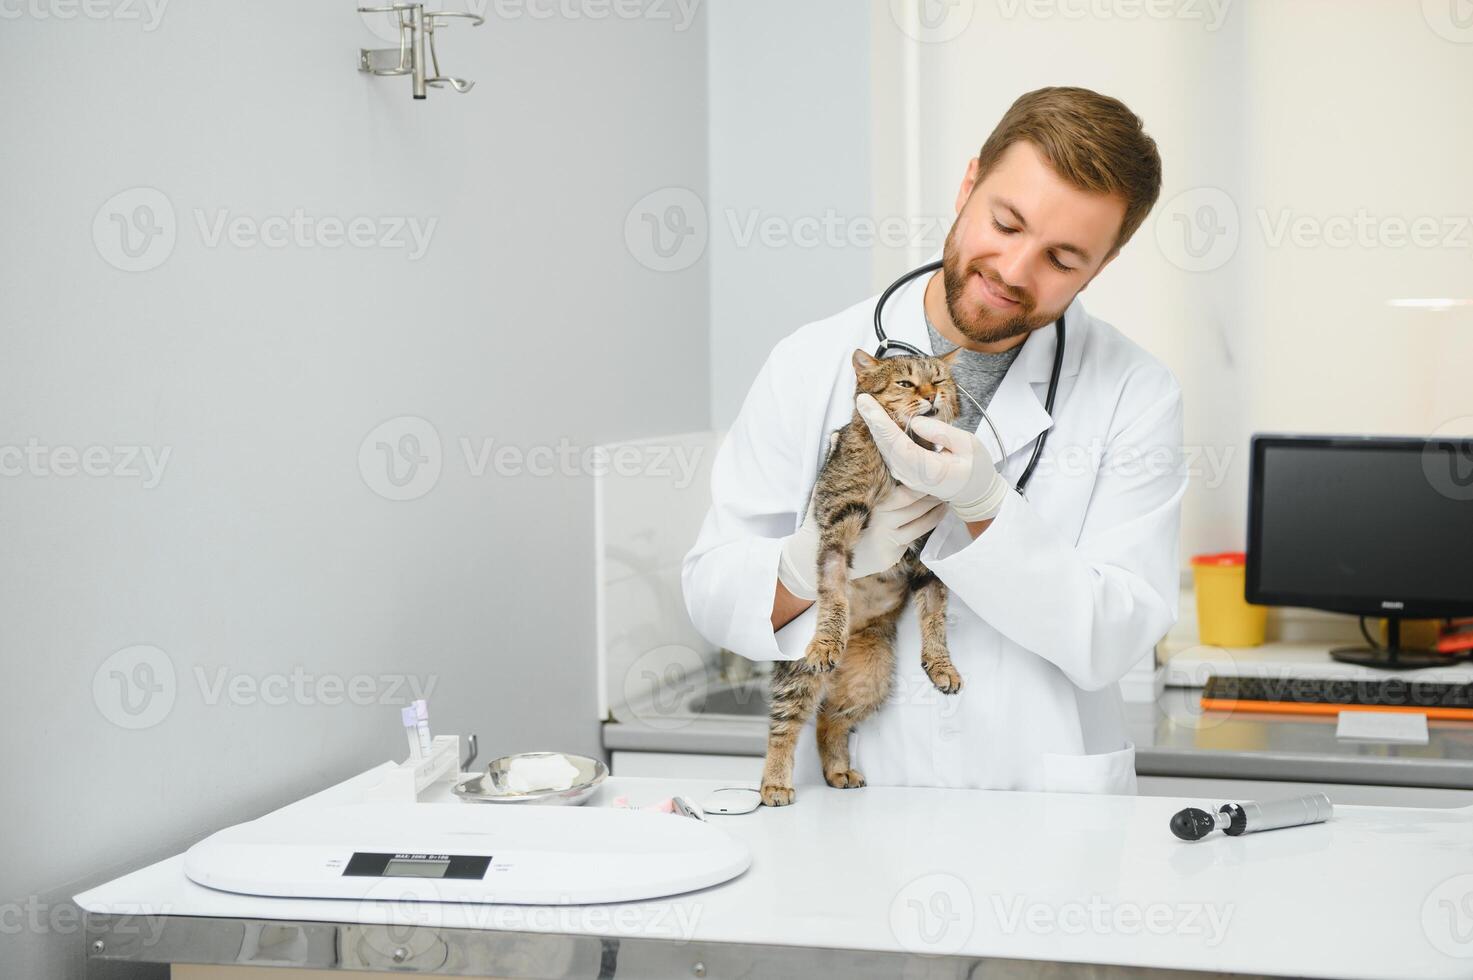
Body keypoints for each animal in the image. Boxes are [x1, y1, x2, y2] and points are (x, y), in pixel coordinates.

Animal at [760, 347, 966, 807]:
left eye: (939, 380)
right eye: (906, 383)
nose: (931, 396)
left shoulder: (927, 557)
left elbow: (935, 614)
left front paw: (941, 664)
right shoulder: (838, 525)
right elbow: (833, 591)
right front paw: (827, 640)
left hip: (870, 678)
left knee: (830, 719)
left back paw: (838, 769)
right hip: (798, 675)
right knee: (786, 724)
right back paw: (775, 782)